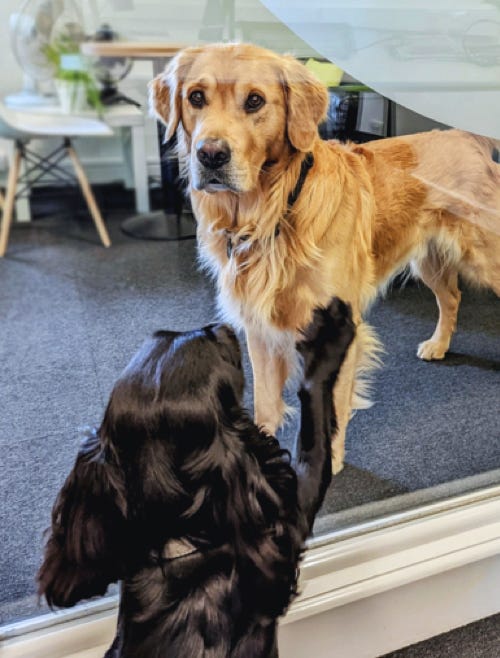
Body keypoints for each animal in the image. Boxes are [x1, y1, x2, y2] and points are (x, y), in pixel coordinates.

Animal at [39, 298, 356, 656]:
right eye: (217, 347)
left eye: (162, 334)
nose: (221, 324)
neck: (178, 536)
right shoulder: (292, 513)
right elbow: (313, 419)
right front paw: (329, 336)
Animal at [150, 42, 500, 472]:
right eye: (196, 97)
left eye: (255, 101)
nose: (211, 155)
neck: (273, 212)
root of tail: (467, 137)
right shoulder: (259, 329)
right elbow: (266, 401)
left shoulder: (338, 327)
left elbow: (329, 406)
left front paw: (325, 465)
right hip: (428, 259)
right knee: (451, 297)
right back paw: (438, 344)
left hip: (485, 255)